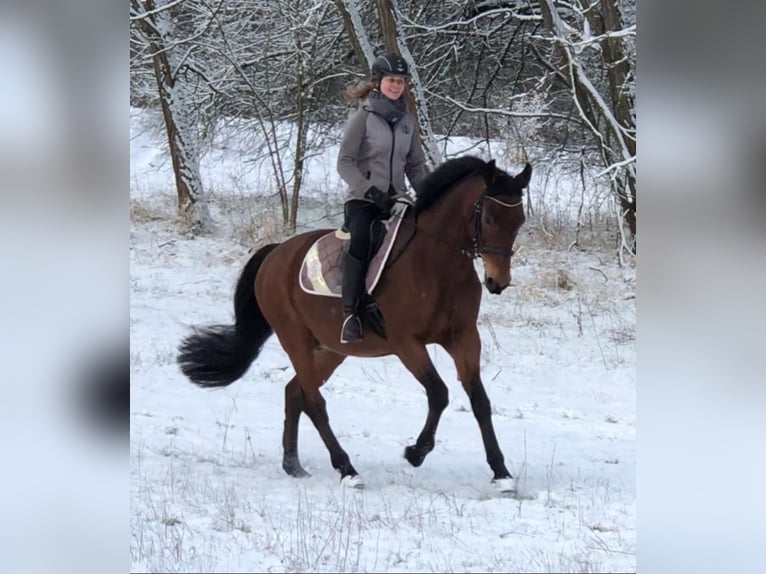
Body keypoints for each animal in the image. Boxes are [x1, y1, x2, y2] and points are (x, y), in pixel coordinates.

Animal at [178, 154, 536, 496]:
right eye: (488, 219)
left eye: (519, 221)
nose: (498, 282)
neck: (437, 261)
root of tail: (275, 254)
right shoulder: (407, 343)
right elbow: (439, 393)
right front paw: (415, 452)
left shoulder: (463, 337)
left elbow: (479, 401)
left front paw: (502, 474)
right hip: (295, 339)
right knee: (314, 402)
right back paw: (347, 470)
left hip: (332, 349)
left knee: (294, 392)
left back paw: (293, 465)